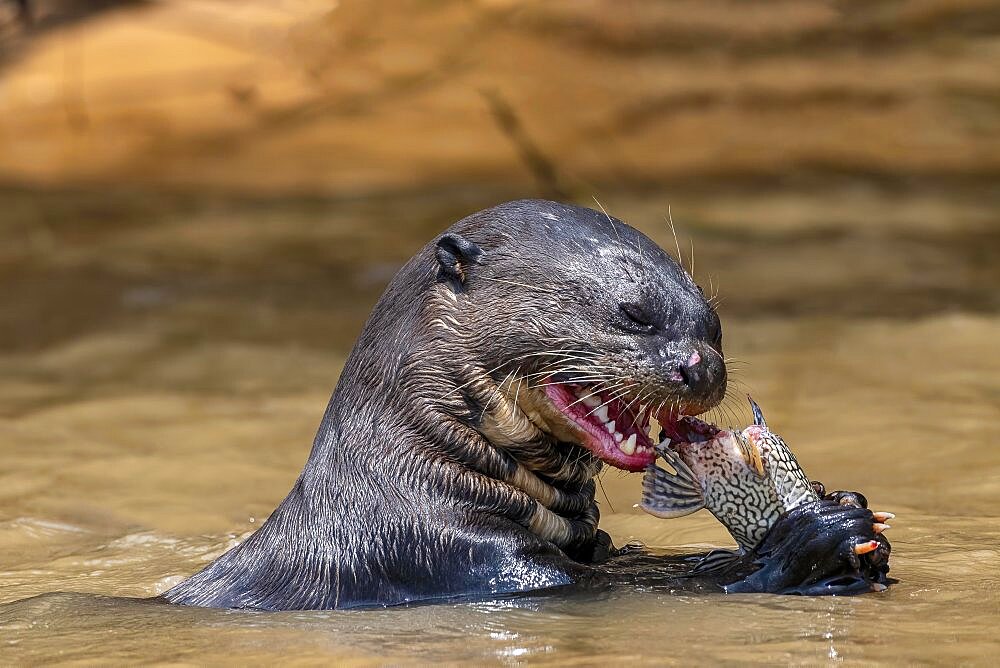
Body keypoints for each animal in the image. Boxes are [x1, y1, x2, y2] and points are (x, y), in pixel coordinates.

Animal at [166, 198, 892, 612]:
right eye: (634, 315)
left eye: (712, 324)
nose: (702, 366)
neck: (405, 483)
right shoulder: (446, 551)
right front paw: (817, 535)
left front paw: (845, 504)